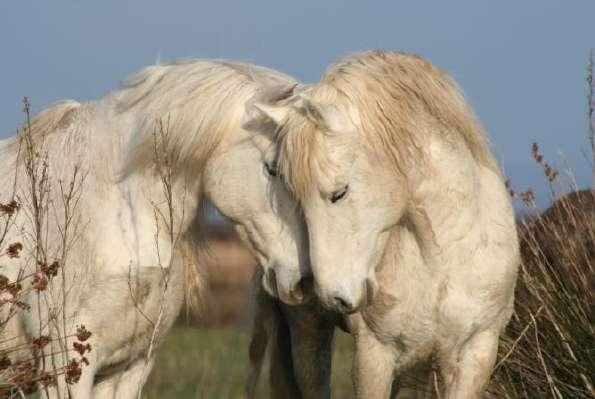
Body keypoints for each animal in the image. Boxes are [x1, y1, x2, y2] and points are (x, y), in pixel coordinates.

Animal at [249, 51, 520, 398]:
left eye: (339, 192)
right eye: (292, 195)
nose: (332, 296)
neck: (442, 259)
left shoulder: (475, 352)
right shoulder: (374, 355)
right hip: (309, 334)